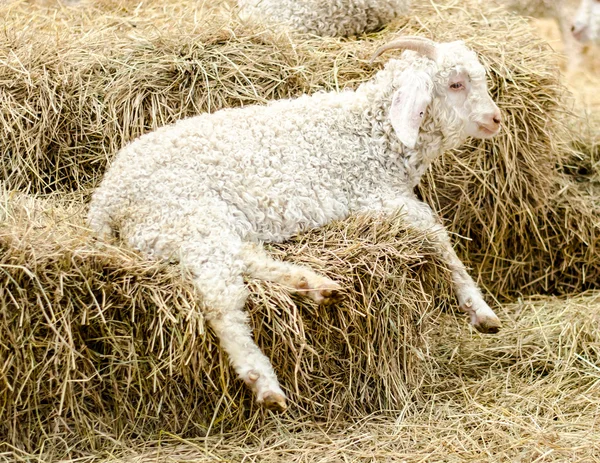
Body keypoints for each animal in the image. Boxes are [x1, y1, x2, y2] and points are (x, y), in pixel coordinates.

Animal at [86, 37, 504, 414]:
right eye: (456, 84)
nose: (496, 119)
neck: (372, 131)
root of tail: (105, 202)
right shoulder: (375, 195)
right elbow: (437, 233)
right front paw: (480, 311)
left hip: (204, 225)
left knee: (245, 259)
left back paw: (314, 286)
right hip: (188, 216)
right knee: (222, 300)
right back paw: (263, 381)